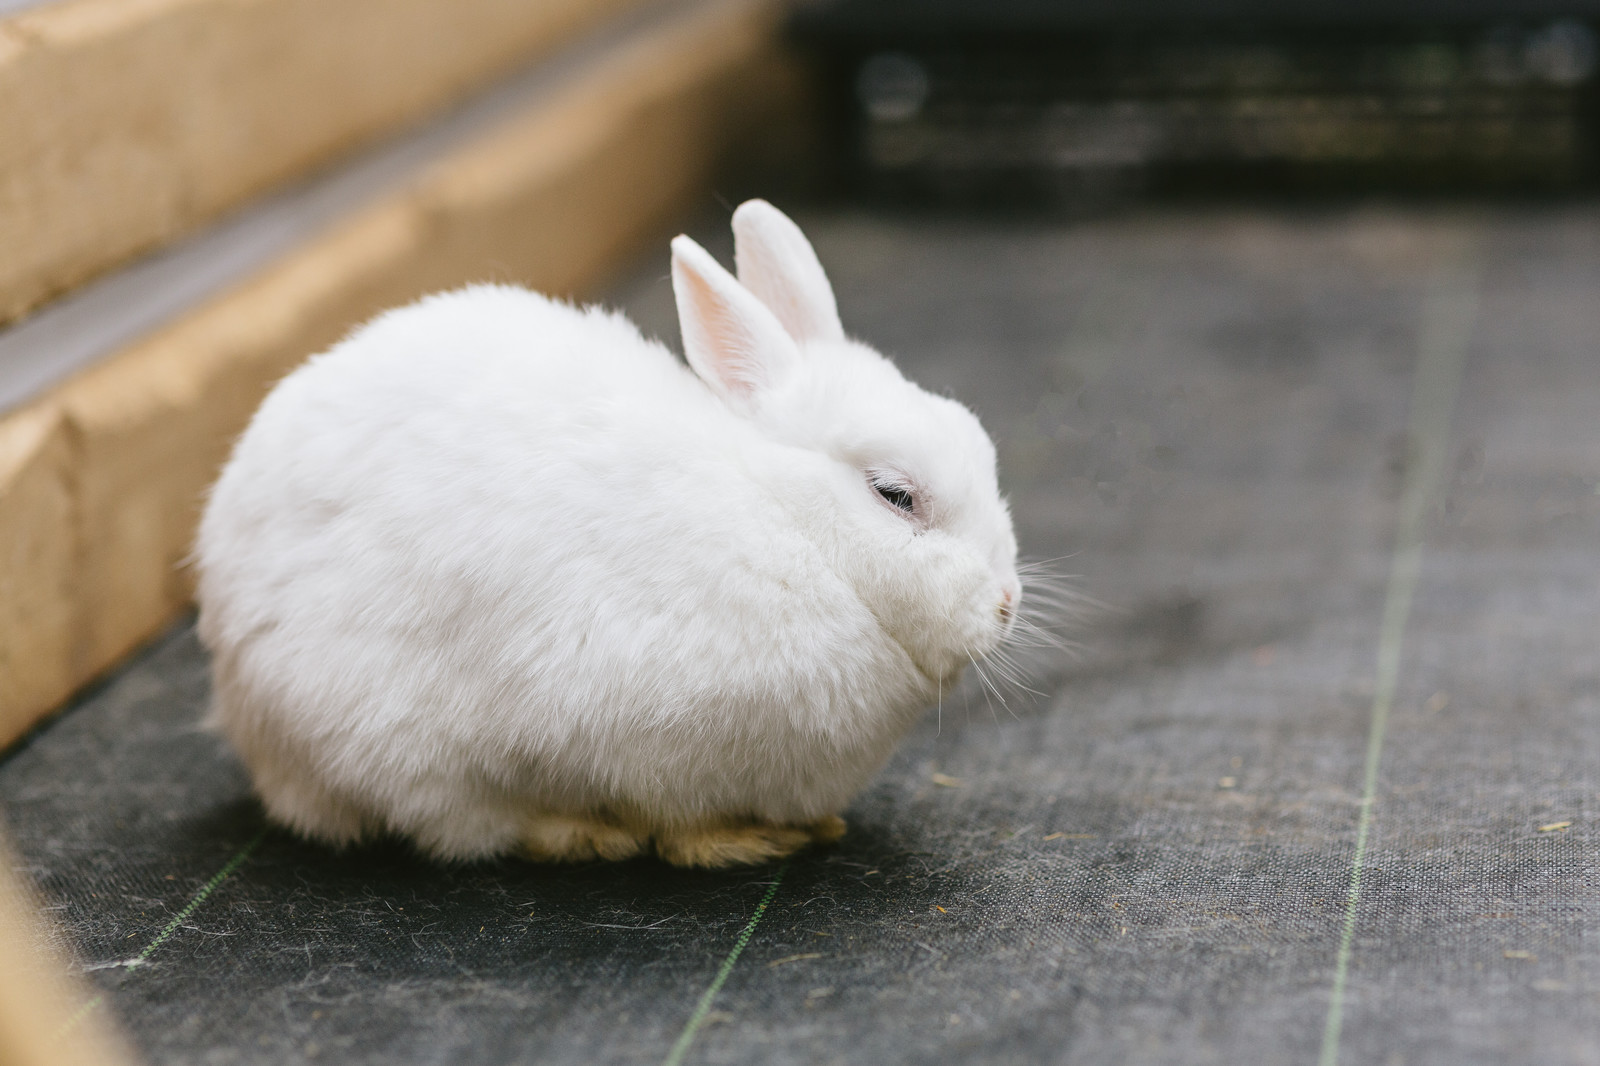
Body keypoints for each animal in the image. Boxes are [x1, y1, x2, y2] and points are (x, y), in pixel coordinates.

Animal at [196, 196, 1011, 864]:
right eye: (895, 495)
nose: (1007, 606)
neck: (787, 519)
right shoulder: (638, 739)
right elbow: (676, 826)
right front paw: (739, 841)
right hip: (388, 748)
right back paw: (586, 833)